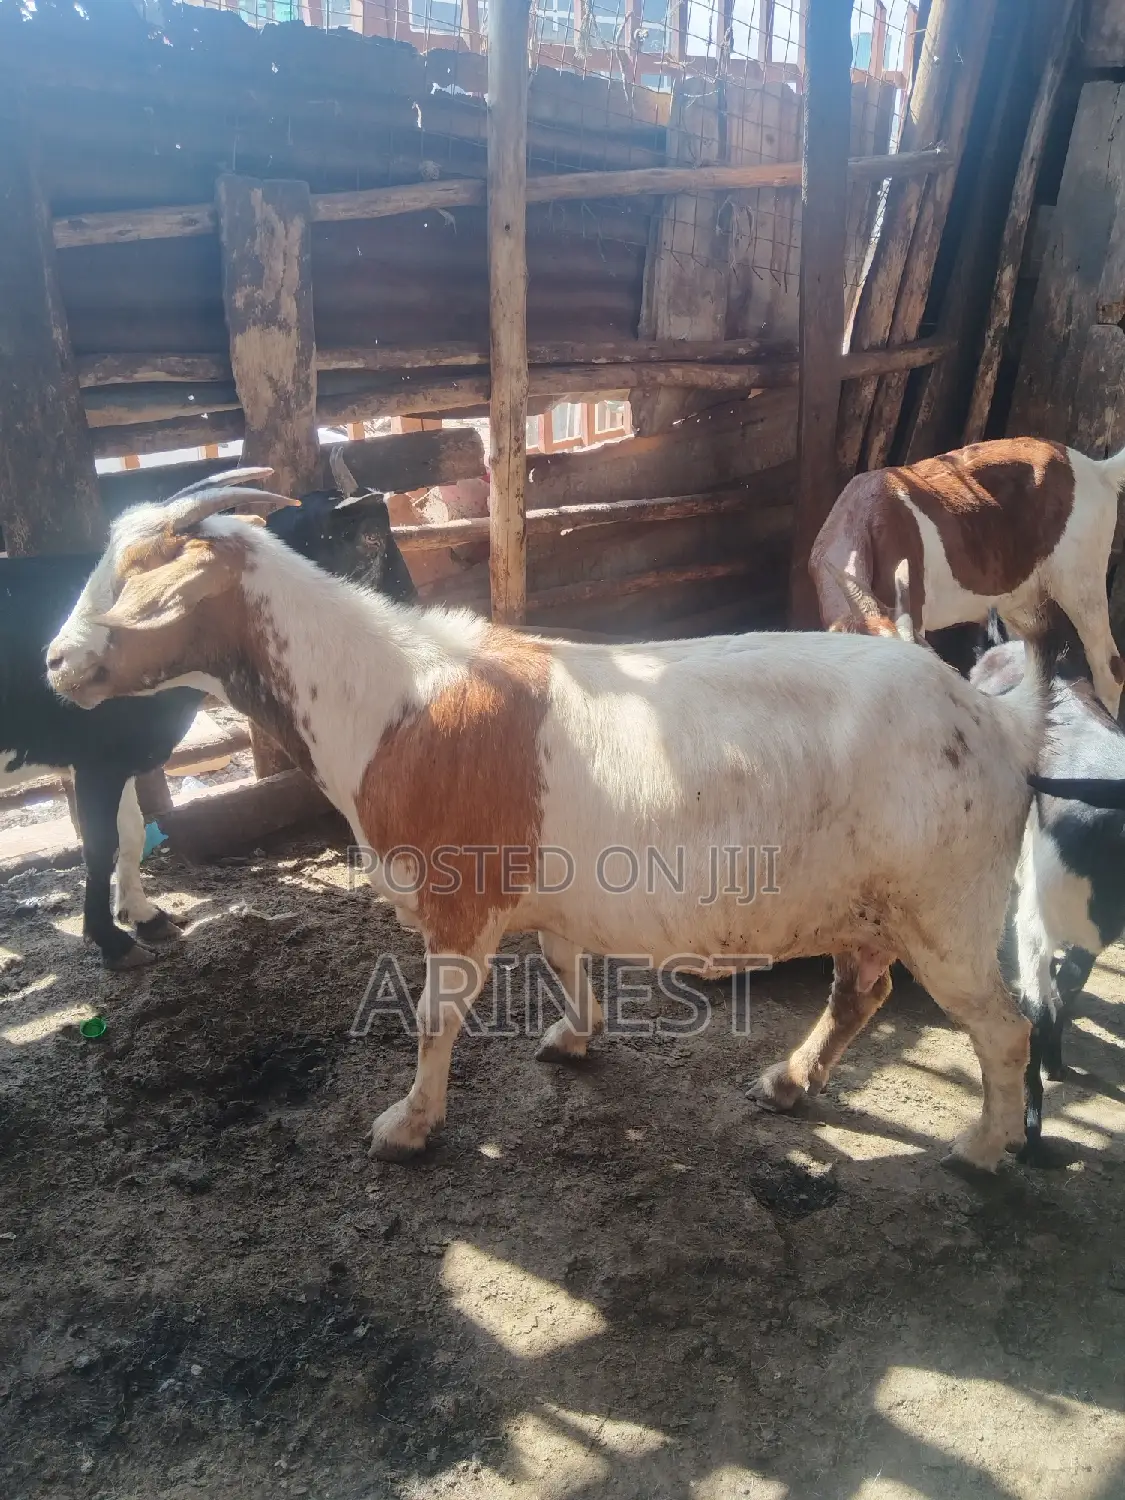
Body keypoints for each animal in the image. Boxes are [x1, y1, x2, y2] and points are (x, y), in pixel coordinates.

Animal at [3, 474, 414, 970]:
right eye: (370, 538)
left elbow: (132, 832)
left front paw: (144, 917)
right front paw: (112, 941)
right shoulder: (96, 759)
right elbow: (99, 848)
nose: (56, 662)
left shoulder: (121, 757)